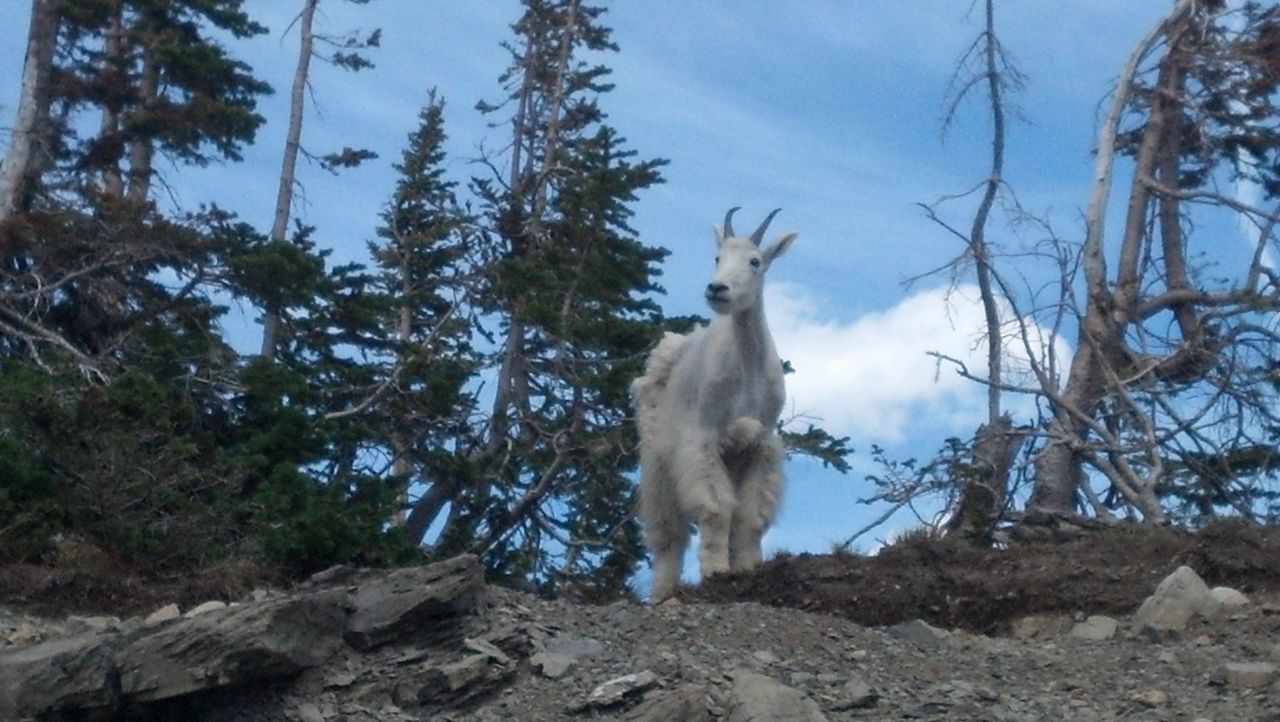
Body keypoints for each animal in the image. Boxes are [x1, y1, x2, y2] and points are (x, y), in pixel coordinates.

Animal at [632, 206, 793, 601]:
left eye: (755, 261)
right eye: (718, 257)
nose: (717, 288)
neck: (747, 365)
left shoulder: (759, 445)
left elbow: (750, 516)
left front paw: (748, 568)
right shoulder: (703, 440)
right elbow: (717, 509)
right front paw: (717, 570)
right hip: (658, 460)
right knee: (668, 536)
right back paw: (664, 591)